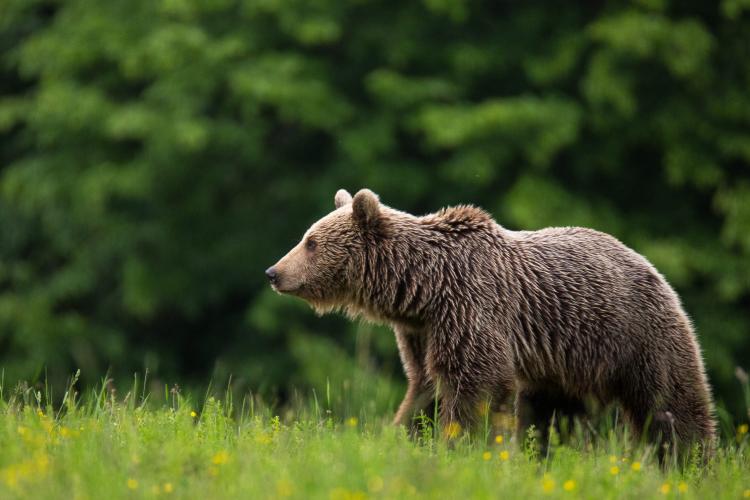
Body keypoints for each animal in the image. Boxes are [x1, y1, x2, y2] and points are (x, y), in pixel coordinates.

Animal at [268, 188, 720, 454]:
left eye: (310, 242)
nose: (274, 271)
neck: (422, 286)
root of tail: (653, 268)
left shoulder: (471, 308)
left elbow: (475, 386)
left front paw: (459, 445)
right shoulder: (423, 330)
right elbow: (427, 388)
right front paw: (403, 436)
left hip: (637, 334)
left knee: (669, 404)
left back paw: (689, 459)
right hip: (564, 364)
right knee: (555, 414)